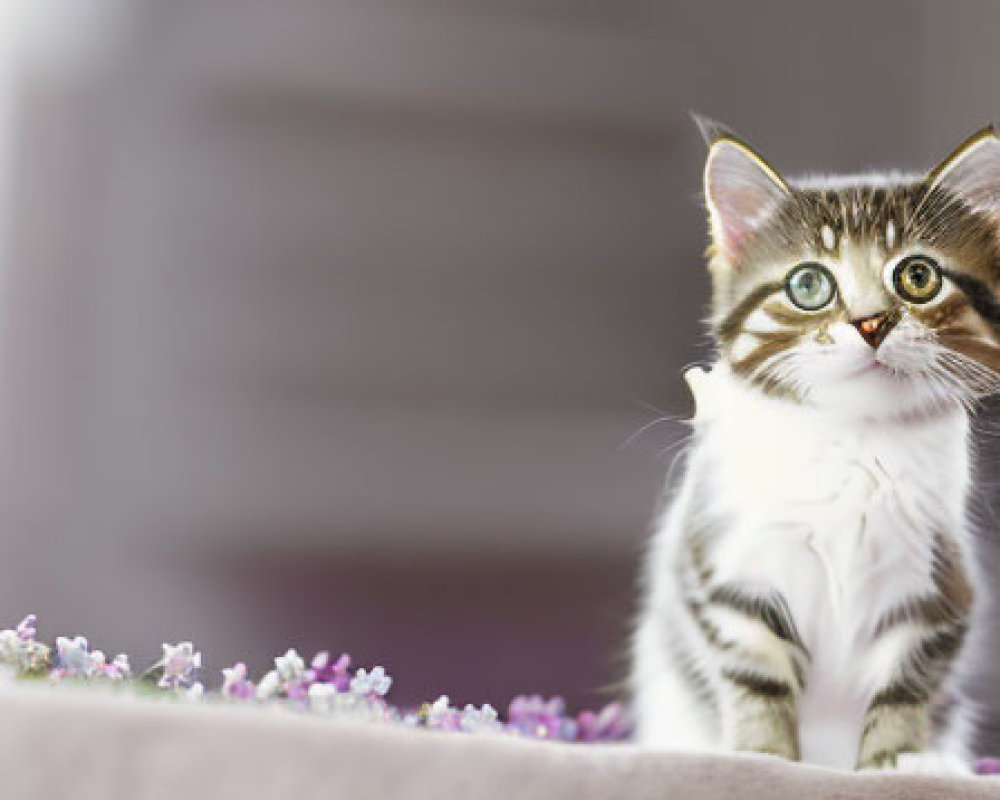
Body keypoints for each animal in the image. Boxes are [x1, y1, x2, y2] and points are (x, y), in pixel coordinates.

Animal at [636, 122, 1000, 772]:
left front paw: (894, 764)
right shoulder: (732, 569)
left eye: (918, 277)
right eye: (809, 284)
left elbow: (905, 685)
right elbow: (757, 677)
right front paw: (763, 758)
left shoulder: (936, 586)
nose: (872, 323)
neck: (856, 436)